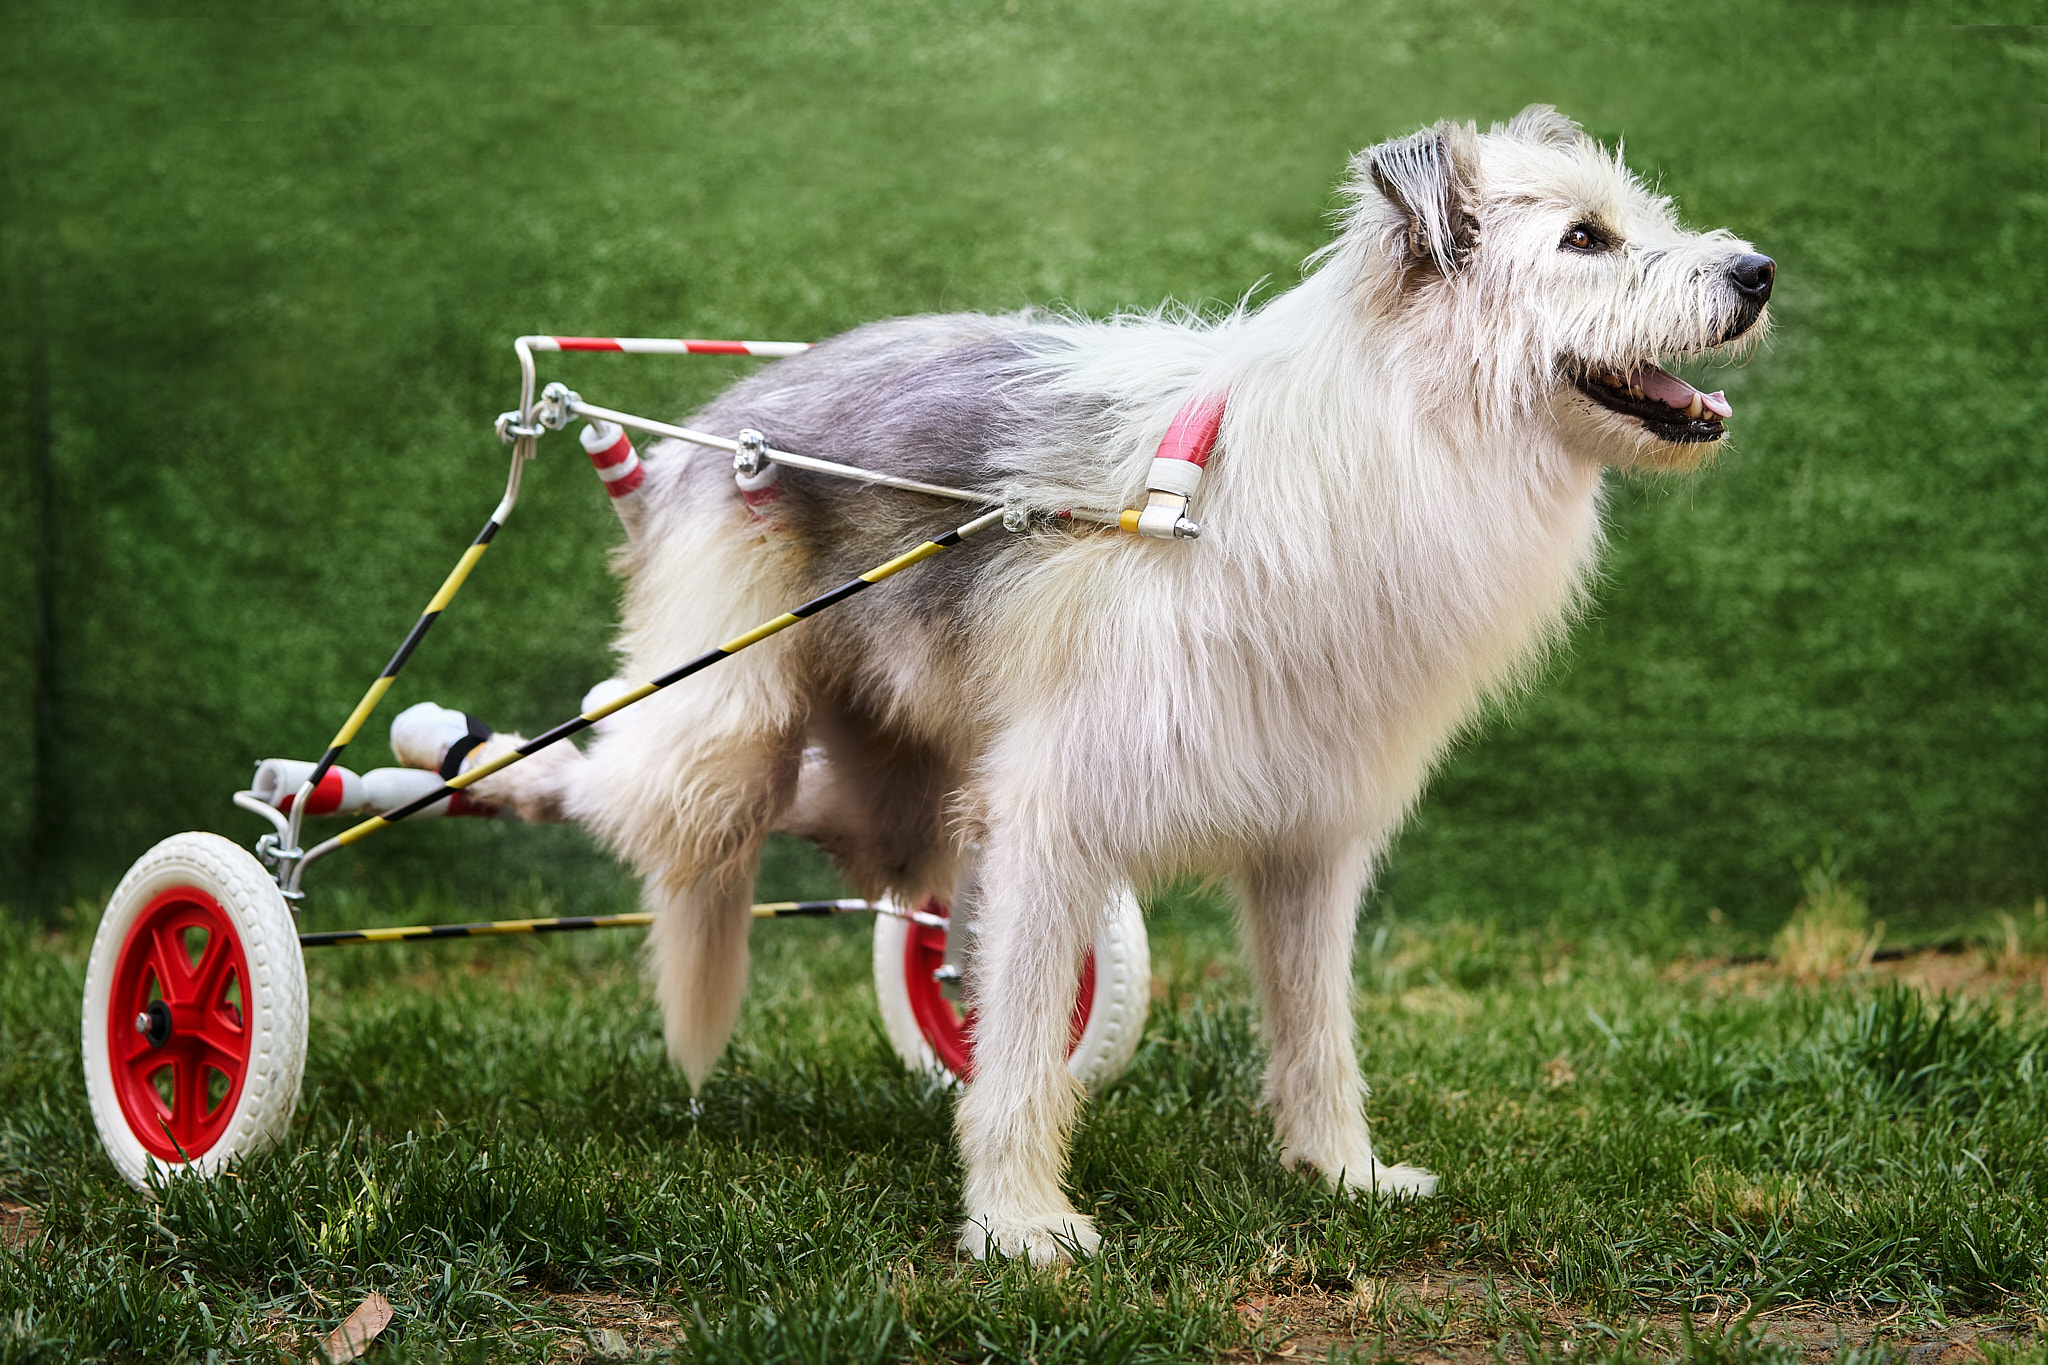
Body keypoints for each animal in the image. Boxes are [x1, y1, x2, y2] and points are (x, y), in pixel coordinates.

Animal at [456, 109, 1769, 1268]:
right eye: (1583, 239)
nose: (1756, 273)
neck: (1375, 439)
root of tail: (718, 416)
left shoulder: (1308, 845)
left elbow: (1315, 1027)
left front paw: (1340, 1172)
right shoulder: (1047, 825)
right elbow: (1022, 1047)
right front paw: (1019, 1225)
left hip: (898, 794)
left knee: (854, 846)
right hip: (717, 744)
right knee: (605, 778)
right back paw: (460, 763)